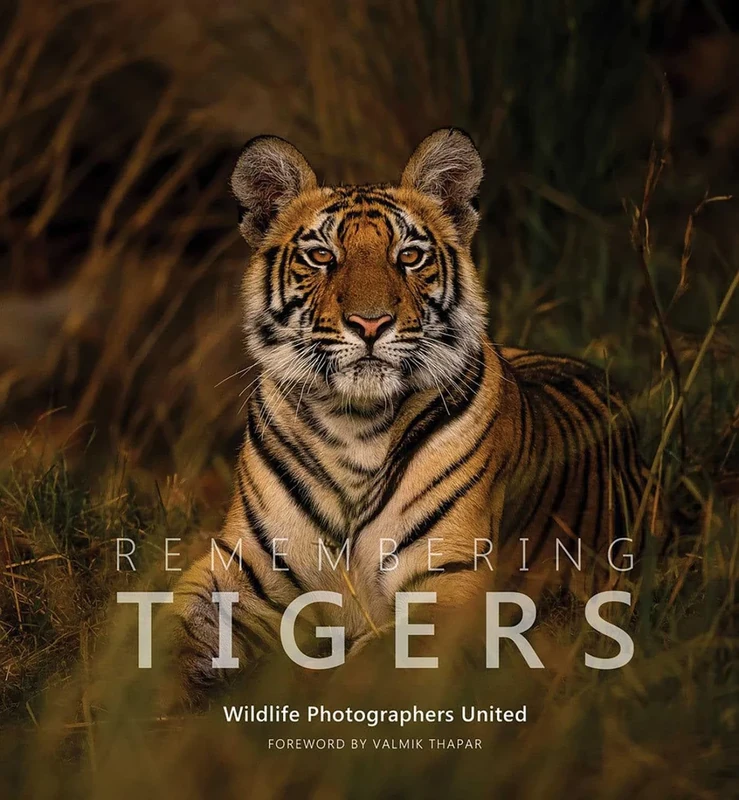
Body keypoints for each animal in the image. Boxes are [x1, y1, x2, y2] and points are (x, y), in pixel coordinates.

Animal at [164, 128, 651, 702]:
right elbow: (173, 633)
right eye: (322, 256)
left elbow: (364, 674)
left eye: (410, 256)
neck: (352, 424)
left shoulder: (447, 586)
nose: (370, 323)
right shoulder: (242, 568)